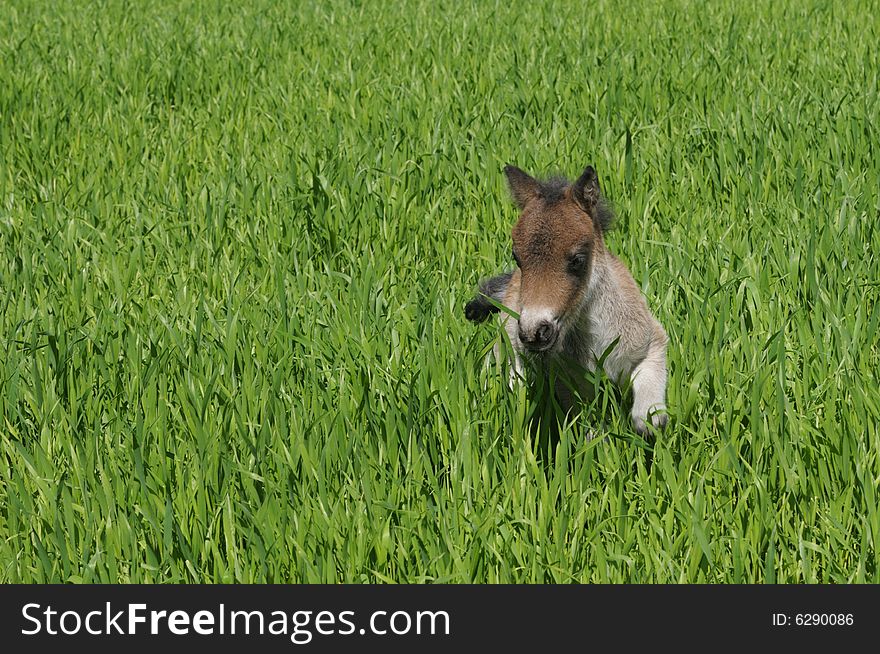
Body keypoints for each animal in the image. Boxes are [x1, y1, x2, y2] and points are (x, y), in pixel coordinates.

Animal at [468, 167, 668, 438]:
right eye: (516, 257)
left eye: (577, 260)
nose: (534, 333)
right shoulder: (567, 383)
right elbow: (588, 428)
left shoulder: (651, 339)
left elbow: (649, 395)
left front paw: (650, 420)